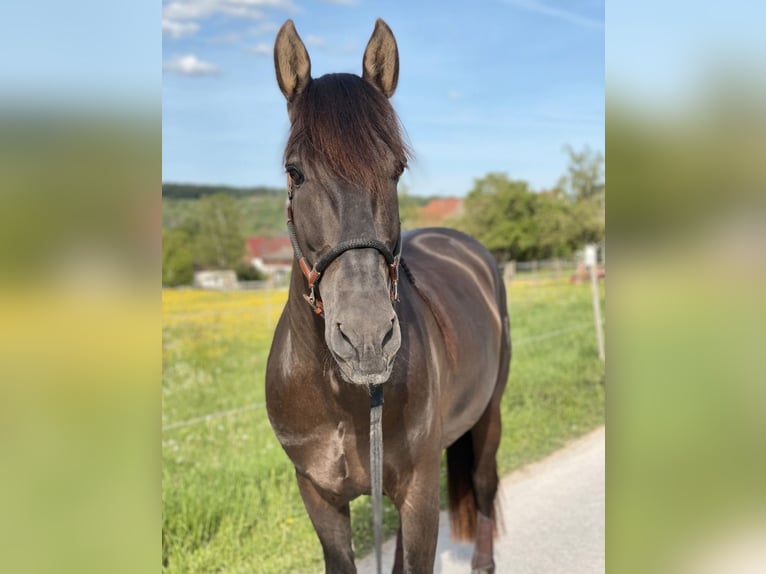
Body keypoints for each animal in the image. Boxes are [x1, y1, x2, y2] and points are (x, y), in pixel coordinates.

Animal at [268, 18, 512, 574]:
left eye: (396, 168)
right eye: (295, 172)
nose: (366, 338)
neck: (341, 396)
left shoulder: (419, 490)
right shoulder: (319, 496)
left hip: (489, 413)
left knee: (485, 484)